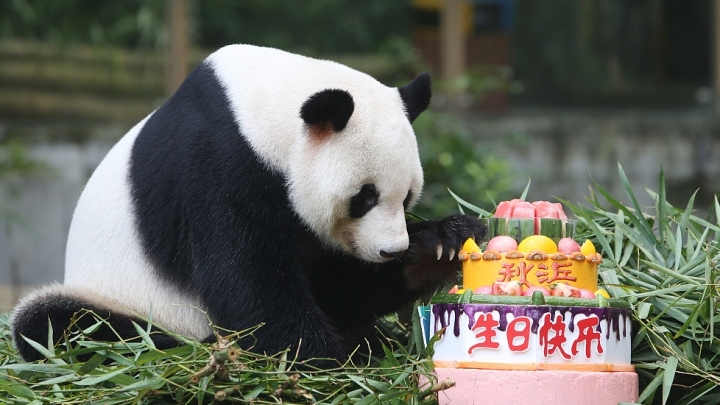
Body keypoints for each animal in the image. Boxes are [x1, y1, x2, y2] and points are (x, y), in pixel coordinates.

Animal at [9, 44, 484, 362]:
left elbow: (336, 288)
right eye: (364, 197)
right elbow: (249, 283)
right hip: (123, 300)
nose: (390, 250)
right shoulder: (217, 165)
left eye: (407, 197)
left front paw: (441, 243)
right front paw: (329, 360)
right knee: (60, 325)